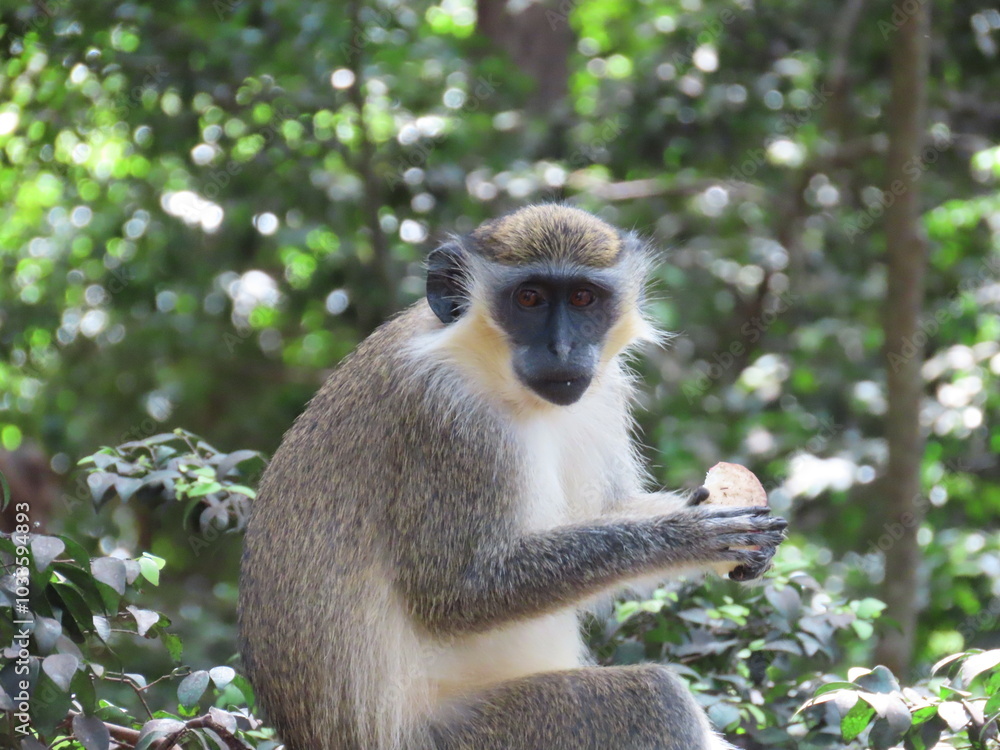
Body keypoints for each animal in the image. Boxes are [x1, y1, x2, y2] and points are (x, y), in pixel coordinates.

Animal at [238, 204, 787, 750]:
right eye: (529, 298)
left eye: (583, 297)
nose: (562, 348)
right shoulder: (446, 416)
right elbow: (456, 591)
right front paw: (684, 538)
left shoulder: (603, 390)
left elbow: (607, 508)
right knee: (655, 700)